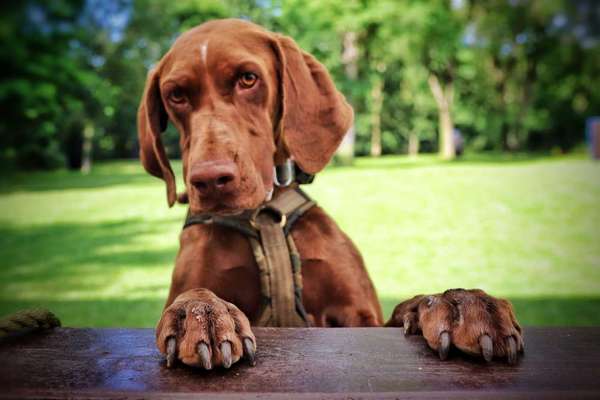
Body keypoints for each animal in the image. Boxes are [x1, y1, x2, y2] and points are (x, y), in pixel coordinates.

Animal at [138, 18, 524, 368]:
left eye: (248, 78)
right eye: (176, 95)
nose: (210, 179)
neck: (264, 219)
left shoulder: (360, 318)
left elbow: (407, 306)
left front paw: (459, 303)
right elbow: (195, 291)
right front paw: (200, 312)